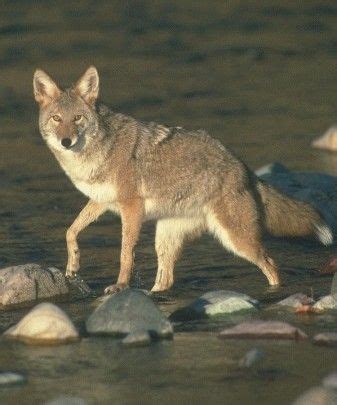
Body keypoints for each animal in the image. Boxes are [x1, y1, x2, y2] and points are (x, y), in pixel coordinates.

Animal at [32, 66, 332, 294]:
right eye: (57, 118)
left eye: (77, 118)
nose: (66, 141)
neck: (96, 154)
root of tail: (244, 167)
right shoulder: (101, 202)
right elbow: (70, 231)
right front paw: (72, 266)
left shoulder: (131, 208)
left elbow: (125, 253)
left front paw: (120, 286)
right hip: (166, 238)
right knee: (166, 280)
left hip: (237, 241)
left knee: (271, 264)